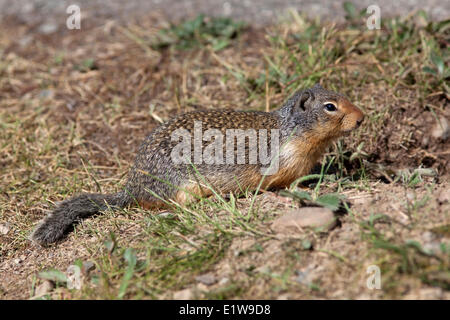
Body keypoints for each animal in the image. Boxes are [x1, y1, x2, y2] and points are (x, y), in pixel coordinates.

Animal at [30, 83, 362, 245]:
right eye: (330, 107)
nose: (362, 118)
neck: (292, 131)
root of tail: (131, 189)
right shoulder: (279, 166)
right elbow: (282, 184)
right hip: (182, 187)